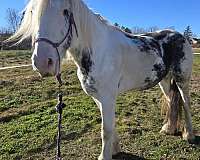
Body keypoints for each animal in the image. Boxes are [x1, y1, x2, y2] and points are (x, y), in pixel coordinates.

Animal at [9, 0, 194, 159]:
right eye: (32, 12)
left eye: (66, 11)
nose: (42, 62)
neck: (98, 51)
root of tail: (181, 36)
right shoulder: (98, 98)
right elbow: (109, 125)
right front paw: (115, 149)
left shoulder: (107, 97)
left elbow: (105, 130)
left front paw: (104, 156)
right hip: (165, 80)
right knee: (171, 101)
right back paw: (168, 129)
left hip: (182, 79)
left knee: (185, 103)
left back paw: (189, 135)